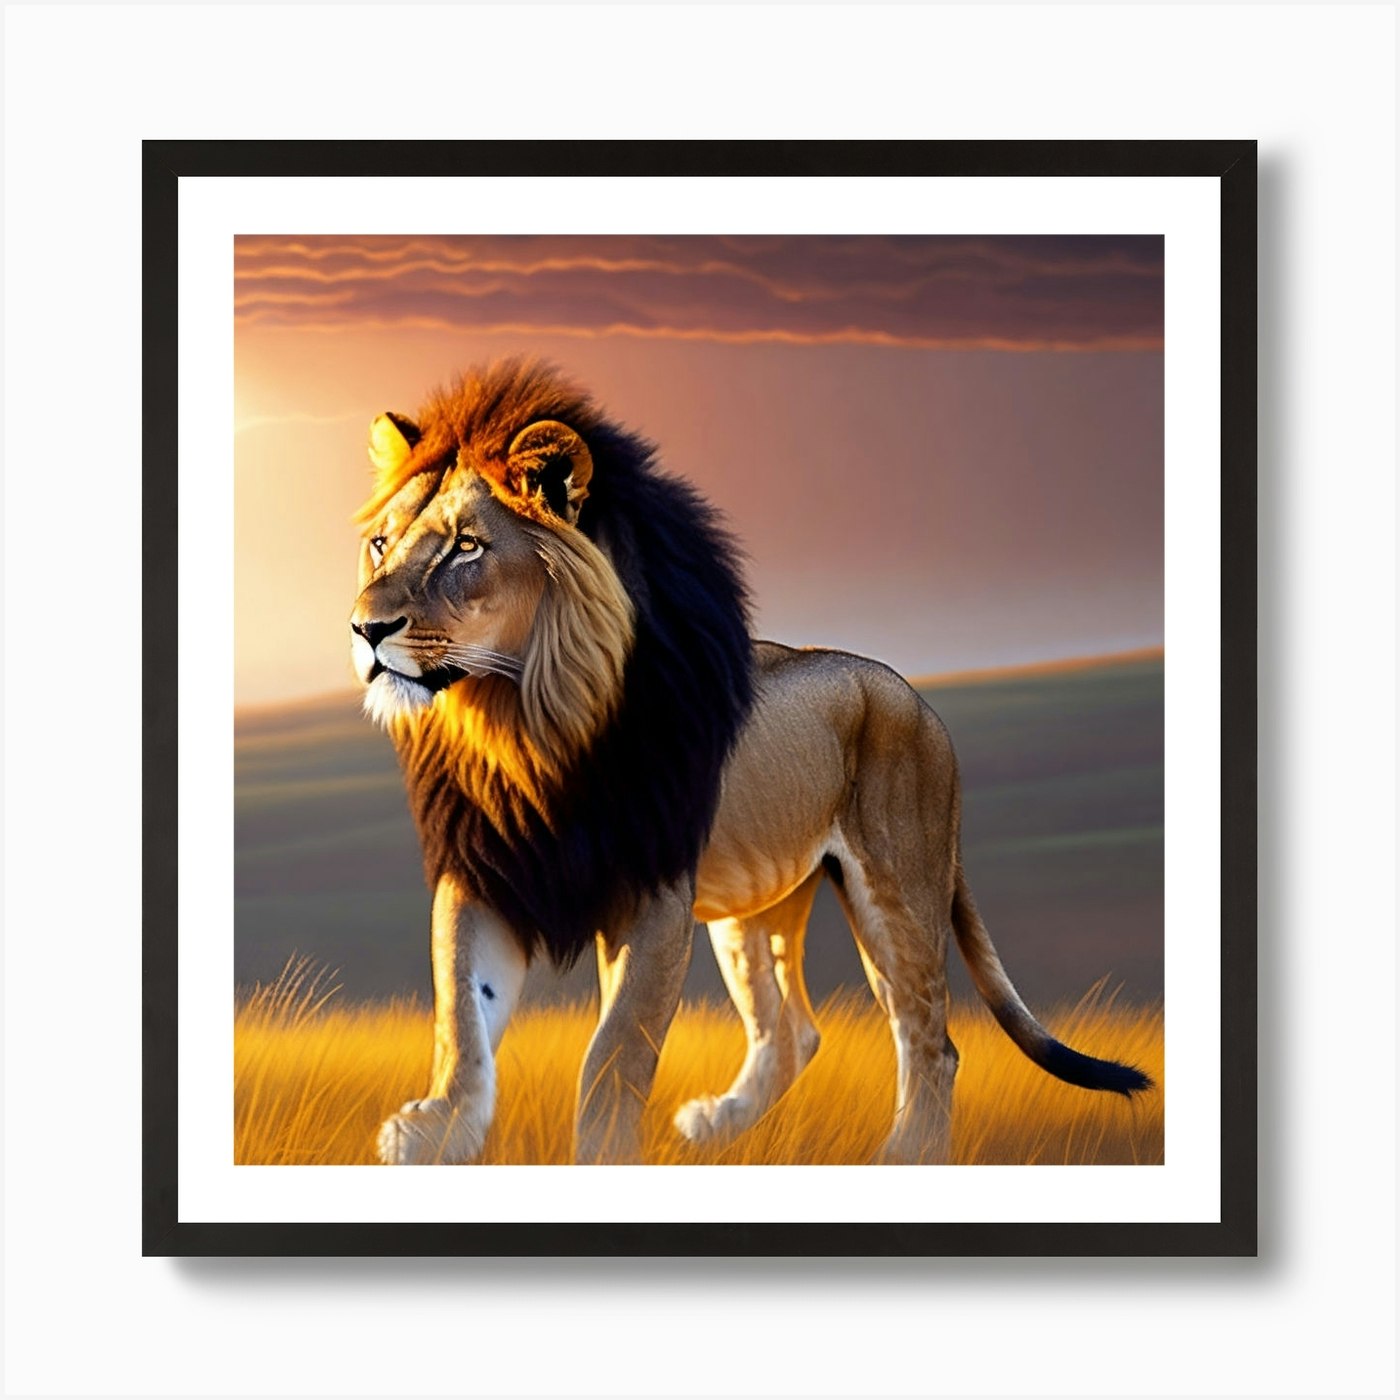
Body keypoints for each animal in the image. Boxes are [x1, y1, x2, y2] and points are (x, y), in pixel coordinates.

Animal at [349, 360, 1151, 1166]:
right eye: (382, 544)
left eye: (466, 547)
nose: (365, 627)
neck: (519, 724)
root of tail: (917, 698)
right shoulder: (485, 873)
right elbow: (462, 1018)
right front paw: (433, 1132)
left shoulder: (655, 895)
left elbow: (613, 1052)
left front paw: (601, 1155)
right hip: (756, 906)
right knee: (793, 1031)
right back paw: (720, 1124)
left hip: (898, 889)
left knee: (930, 1037)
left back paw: (904, 1154)